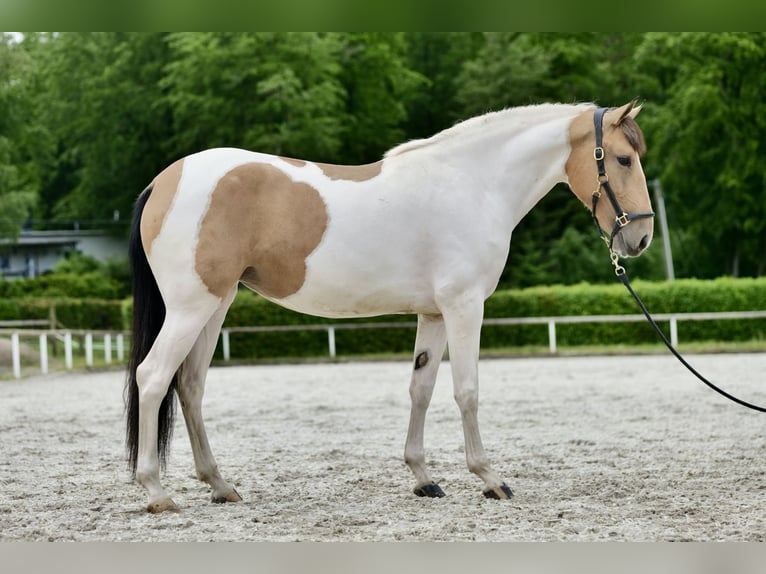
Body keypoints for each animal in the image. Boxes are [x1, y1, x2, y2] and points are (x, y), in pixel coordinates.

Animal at [126, 98, 656, 512]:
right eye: (623, 159)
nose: (641, 238)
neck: (472, 183)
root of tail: (162, 182)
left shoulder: (434, 313)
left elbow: (421, 388)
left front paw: (424, 479)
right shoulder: (465, 307)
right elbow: (467, 390)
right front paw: (490, 480)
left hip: (215, 306)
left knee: (190, 386)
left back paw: (220, 485)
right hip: (192, 308)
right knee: (153, 378)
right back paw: (156, 492)